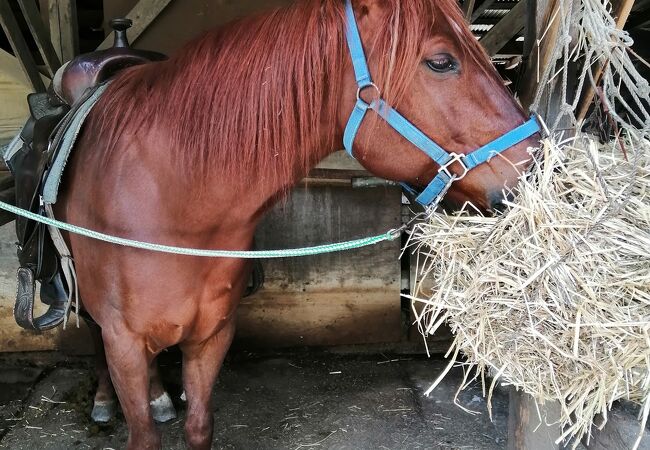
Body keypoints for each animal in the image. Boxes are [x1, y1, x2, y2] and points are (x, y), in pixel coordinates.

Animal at [58, 0, 536, 448]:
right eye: (440, 61)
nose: (537, 165)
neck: (173, 199)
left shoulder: (212, 337)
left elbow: (198, 427)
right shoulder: (124, 342)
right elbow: (143, 434)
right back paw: (104, 401)